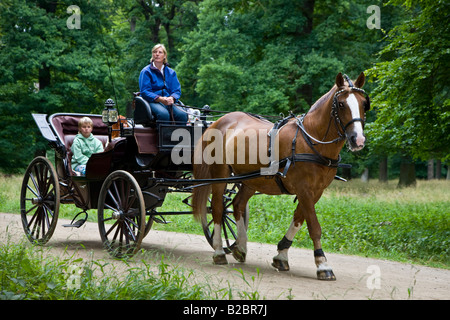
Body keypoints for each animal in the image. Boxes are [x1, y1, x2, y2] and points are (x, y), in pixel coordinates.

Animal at [192, 72, 370, 280]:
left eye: (364, 103)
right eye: (341, 104)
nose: (358, 139)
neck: (311, 141)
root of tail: (219, 121)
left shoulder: (315, 192)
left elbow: (299, 219)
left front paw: (282, 255)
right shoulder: (304, 189)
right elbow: (314, 226)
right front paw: (322, 263)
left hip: (251, 180)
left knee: (237, 205)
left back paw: (241, 247)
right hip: (220, 174)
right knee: (218, 209)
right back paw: (219, 252)